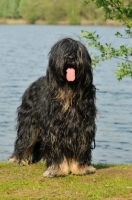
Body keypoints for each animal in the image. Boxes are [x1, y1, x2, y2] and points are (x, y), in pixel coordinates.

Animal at [9, 37, 97, 177]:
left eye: (77, 51)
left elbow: (81, 146)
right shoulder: (54, 128)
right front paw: (56, 169)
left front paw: (81, 168)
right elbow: (55, 148)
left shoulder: (83, 126)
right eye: (63, 50)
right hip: (29, 122)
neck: (68, 91)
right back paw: (19, 159)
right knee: (25, 139)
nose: (70, 57)